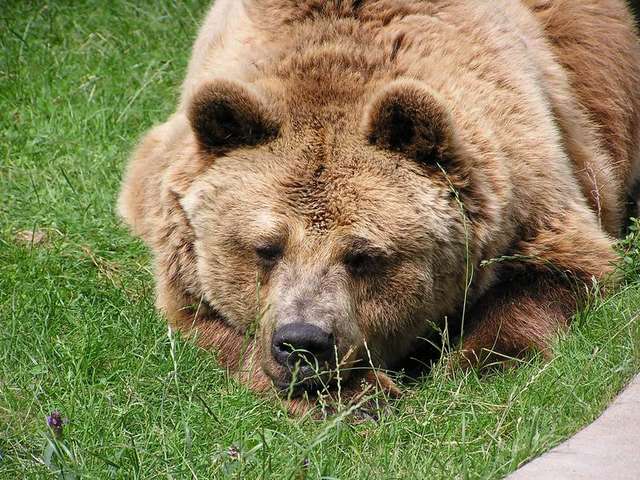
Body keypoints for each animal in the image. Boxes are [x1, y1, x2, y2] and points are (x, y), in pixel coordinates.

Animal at [117, 0, 640, 412]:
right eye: (265, 247)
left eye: (362, 255)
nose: (302, 343)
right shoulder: (179, 242)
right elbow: (210, 324)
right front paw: (356, 398)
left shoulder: (529, 179)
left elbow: (557, 272)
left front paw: (476, 365)